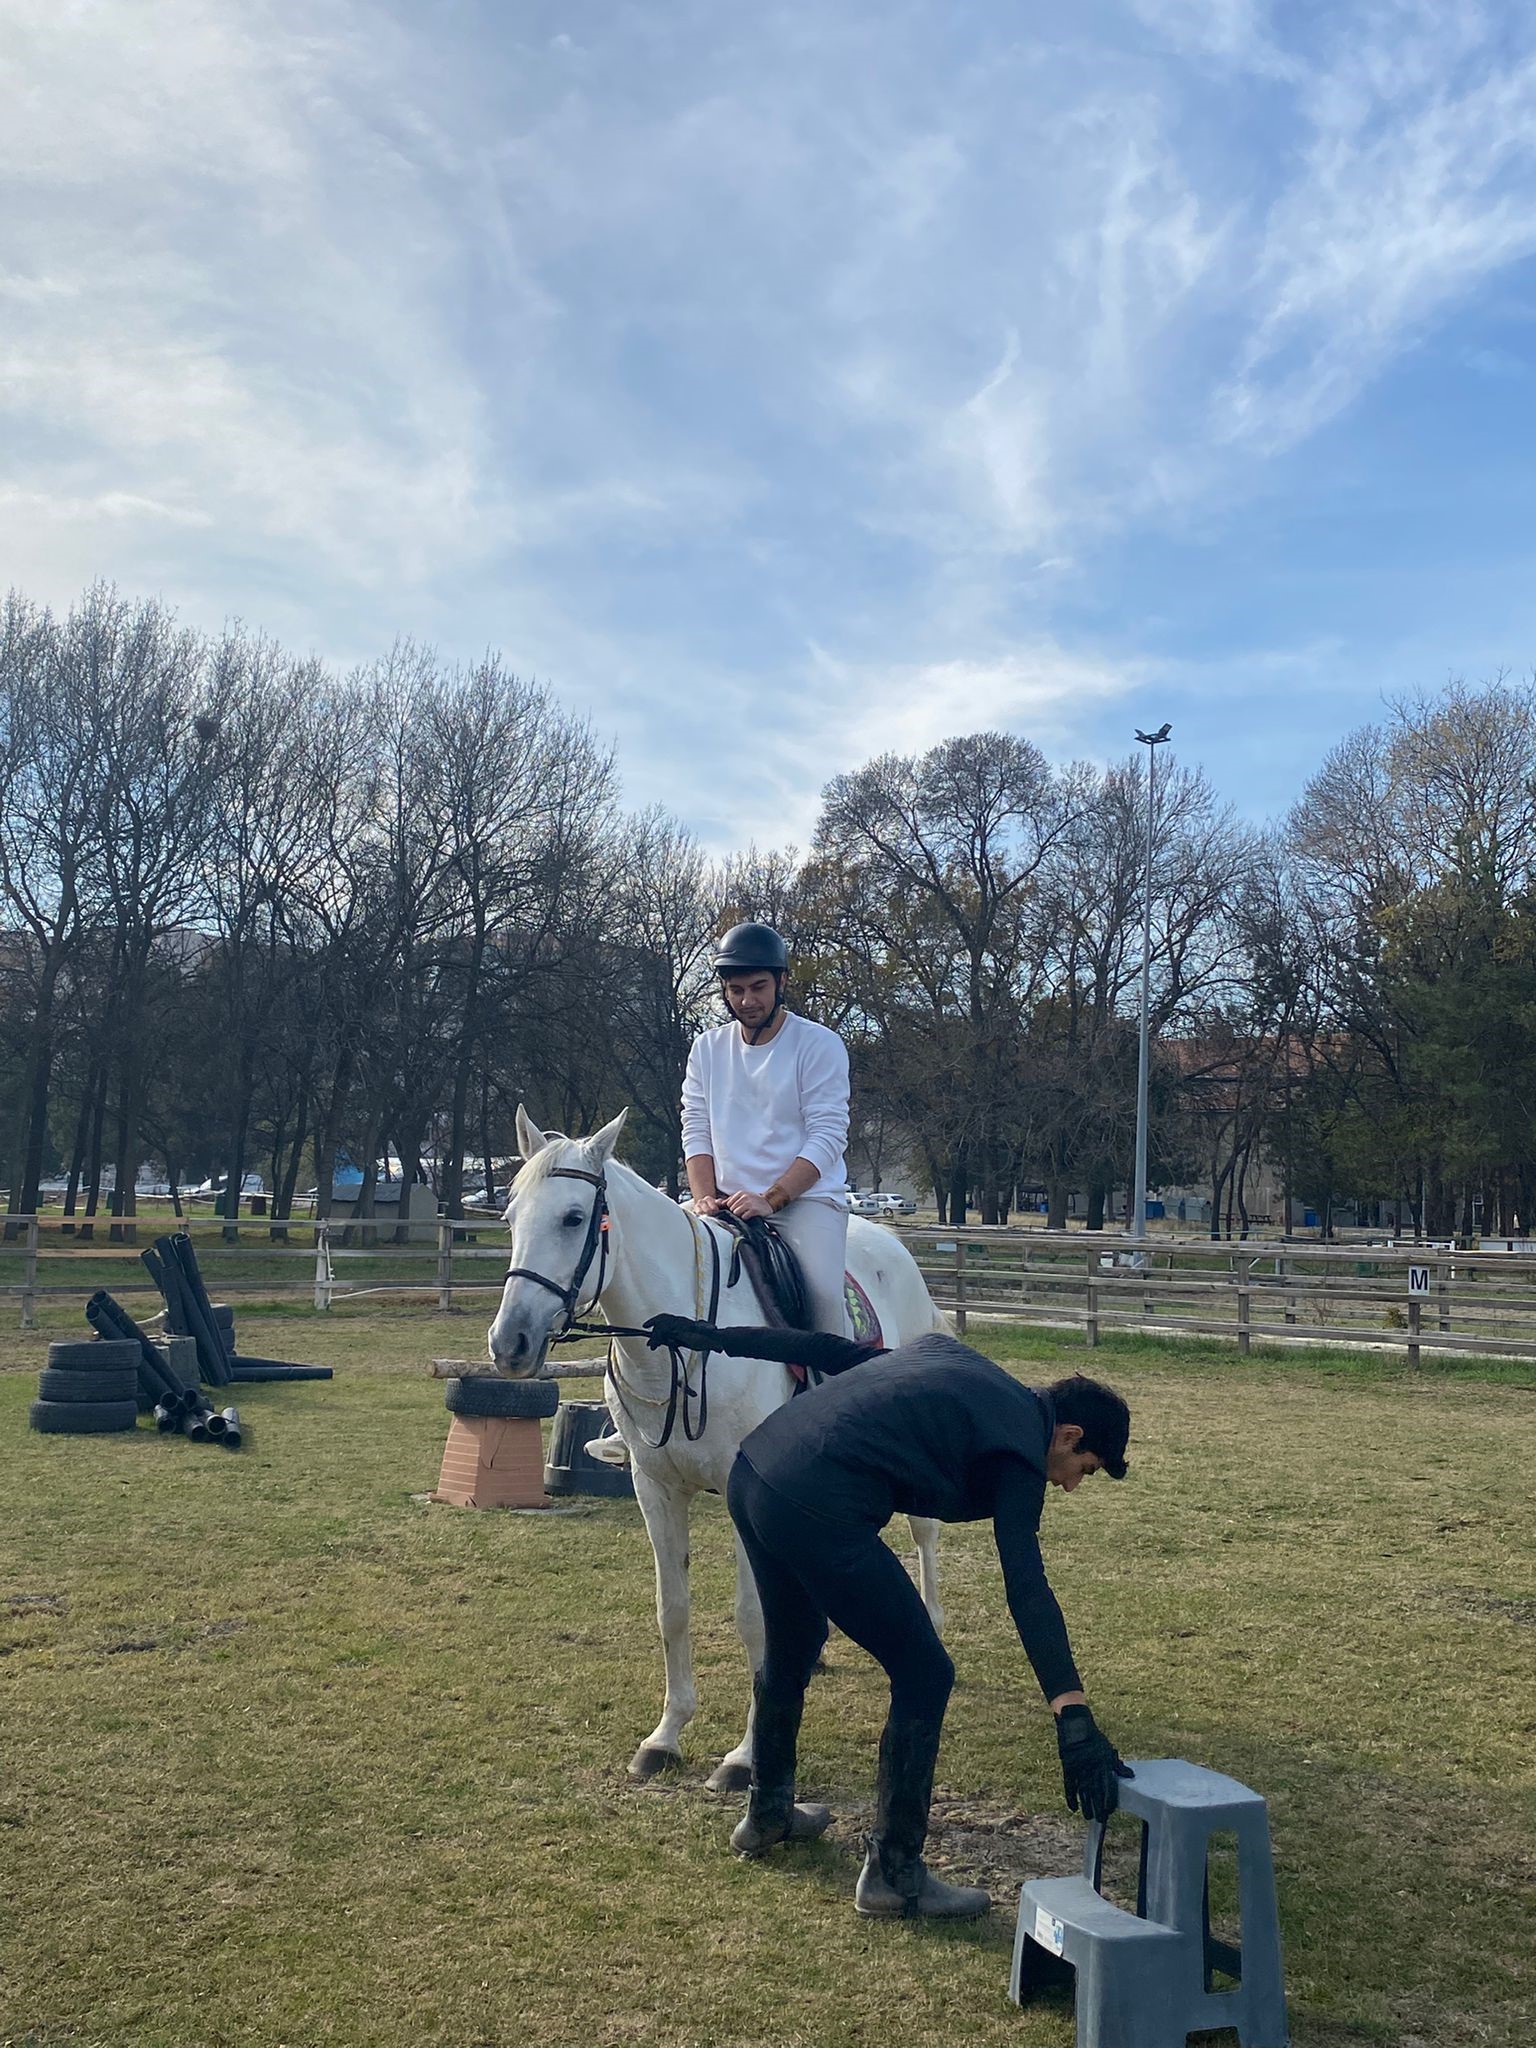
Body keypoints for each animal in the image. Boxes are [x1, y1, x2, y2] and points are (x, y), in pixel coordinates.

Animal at [487, 1104, 948, 1791]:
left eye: (573, 1218)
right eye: (511, 1216)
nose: (509, 1343)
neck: (685, 1341)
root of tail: (895, 1247)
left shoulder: (741, 1492)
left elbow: (752, 1617)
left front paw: (746, 1756)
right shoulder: (654, 1487)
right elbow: (672, 1608)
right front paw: (665, 1736)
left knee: (923, 1534)